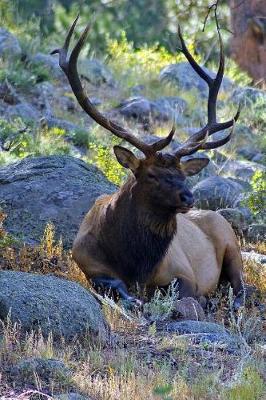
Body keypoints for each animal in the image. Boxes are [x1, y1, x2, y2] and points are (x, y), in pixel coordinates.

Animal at [51, 16, 244, 306]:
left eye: (184, 175)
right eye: (151, 175)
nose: (188, 197)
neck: (136, 264)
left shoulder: (184, 272)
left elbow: (182, 293)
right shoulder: (87, 263)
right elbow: (115, 285)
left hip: (232, 244)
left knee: (242, 287)